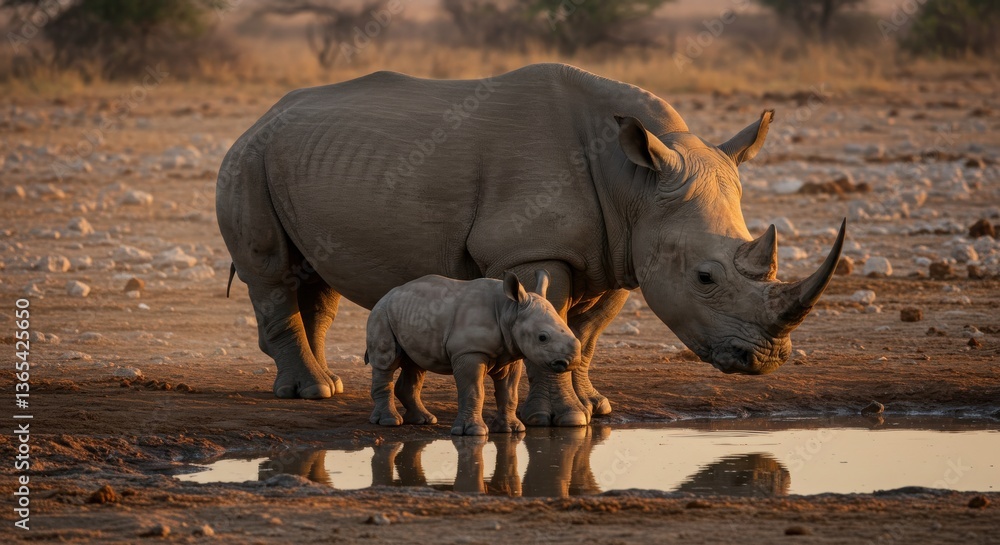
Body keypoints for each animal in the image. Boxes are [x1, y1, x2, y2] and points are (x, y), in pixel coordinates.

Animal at [366, 271, 581, 435]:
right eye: (542, 337)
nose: (572, 361)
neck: (509, 311)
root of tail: (388, 294)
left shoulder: (511, 353)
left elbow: (509, 392)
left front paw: (511, 430)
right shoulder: (469, 351)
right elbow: (473, 390)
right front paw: (473, 432)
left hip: (408, 314)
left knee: (415, 365)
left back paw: (424, 420)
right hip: (381, 312)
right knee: (387, 361)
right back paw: (390, 422)